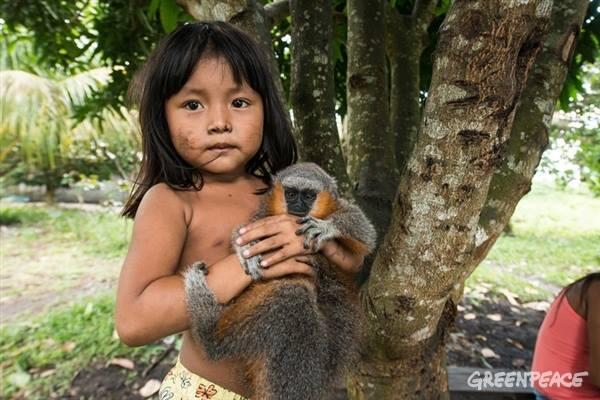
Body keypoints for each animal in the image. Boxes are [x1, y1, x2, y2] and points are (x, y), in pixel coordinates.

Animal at [185, 162, 378, 400]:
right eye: (291, 193)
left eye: (308, 196)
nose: (297, 204)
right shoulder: (263, 214)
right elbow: (244, 232)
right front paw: (245, 245)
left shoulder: (339, 208)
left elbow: (366, 234)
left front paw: (326, 227)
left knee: (291, 296)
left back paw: (208, 333)